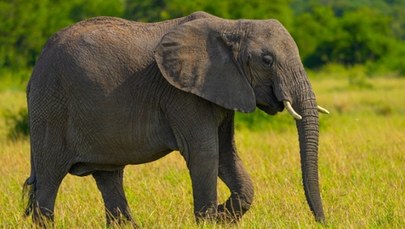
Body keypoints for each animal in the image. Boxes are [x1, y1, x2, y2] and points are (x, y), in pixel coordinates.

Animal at [22, 11, 328, 226]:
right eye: (267, 60)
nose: (321, 221)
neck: (231, 26)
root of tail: (34, 71)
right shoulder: (182, 94)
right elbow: (205, 153)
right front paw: (209, 219)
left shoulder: (222, 87)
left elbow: (226, 154)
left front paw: (221, 215)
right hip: (51, 109)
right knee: (49, 179)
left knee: (108, 175)